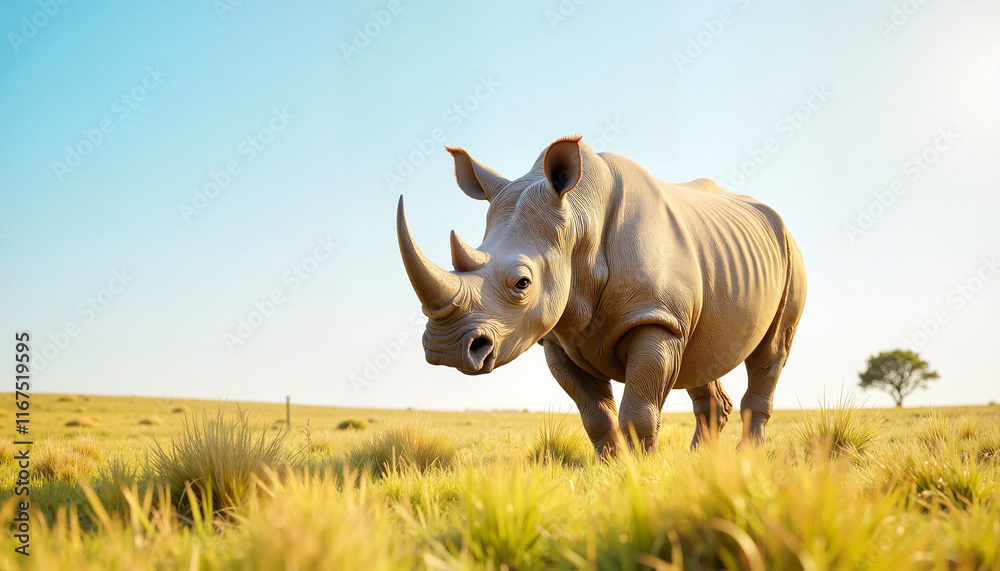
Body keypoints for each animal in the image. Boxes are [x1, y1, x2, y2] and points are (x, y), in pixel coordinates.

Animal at [396, 136, 806, 455]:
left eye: (522, 284)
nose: (445, 350)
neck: (580, 220)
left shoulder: (653, 317)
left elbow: (638, 413)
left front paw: (641, 474)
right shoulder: (558, 337)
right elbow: (595, 416)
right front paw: (612, 470)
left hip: (790, 256)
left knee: (771, 351)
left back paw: (745, 459)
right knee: (702, 353)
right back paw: (700, 463)